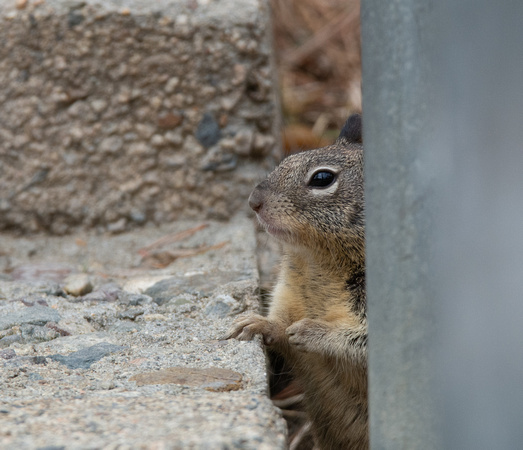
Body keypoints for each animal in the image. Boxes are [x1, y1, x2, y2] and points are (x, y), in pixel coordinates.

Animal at [226, 116, 368, 450]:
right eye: (286, 160)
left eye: (322, 178)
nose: (253, 201)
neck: (318, 264)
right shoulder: (287, 293)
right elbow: (279, 325)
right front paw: (259, 324)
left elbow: (361, 341)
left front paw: (312, 331)